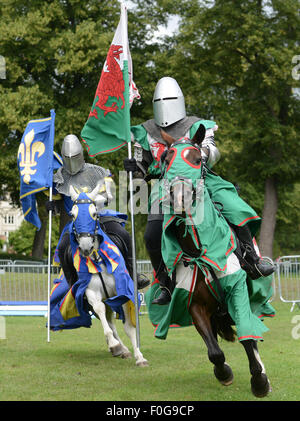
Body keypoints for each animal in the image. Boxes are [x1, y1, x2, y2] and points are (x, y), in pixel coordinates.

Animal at [67, 183, 148, 364]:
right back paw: (120, 348)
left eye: (94, 213)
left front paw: (140, 357)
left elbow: (129, 327)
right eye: (73, 215)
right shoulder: (91, 292)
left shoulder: (122, 290)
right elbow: (101, 311)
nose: (85, 247)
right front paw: (114, 344)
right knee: (109, 320)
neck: (97, 258)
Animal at [159, 126, 272, 396]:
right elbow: (214, 352)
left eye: (197, 159)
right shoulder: (195, 305)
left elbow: (248, 338)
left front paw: (259, 381)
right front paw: (224, 374)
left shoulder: (237, 291)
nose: (180, 197)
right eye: (166, 159)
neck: (202, 252)